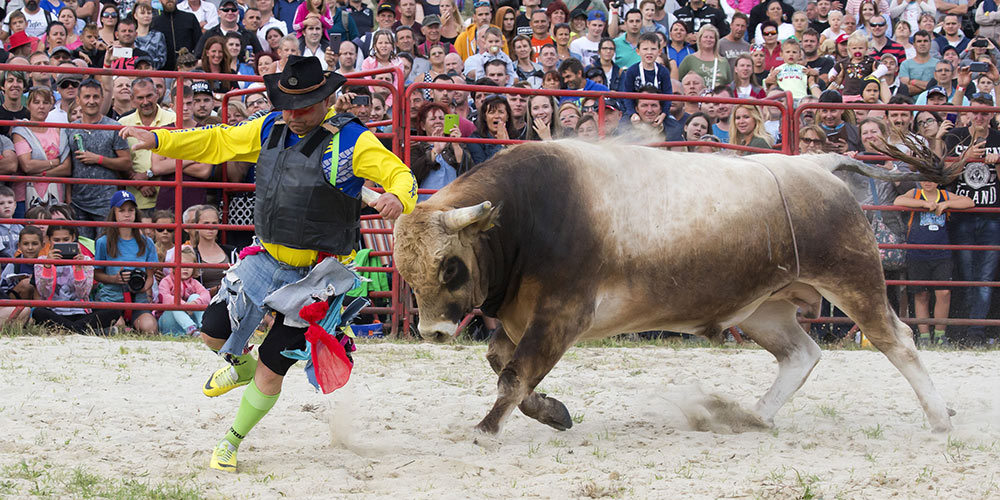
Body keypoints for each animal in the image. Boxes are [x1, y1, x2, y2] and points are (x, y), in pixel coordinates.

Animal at [390, 141, 952, 434]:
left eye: (450, 268)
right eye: (406, 270)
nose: (432, 331)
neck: (529, 215)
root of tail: (816, 165)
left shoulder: (561, 316)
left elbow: (514, 376)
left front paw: (486, 431)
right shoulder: (520, 319)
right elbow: (505, 367)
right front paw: (552, 412)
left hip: (853, 277)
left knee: (899, 342)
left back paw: (941, 418)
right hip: (762, 308)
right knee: (802, 354)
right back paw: (750, 416)